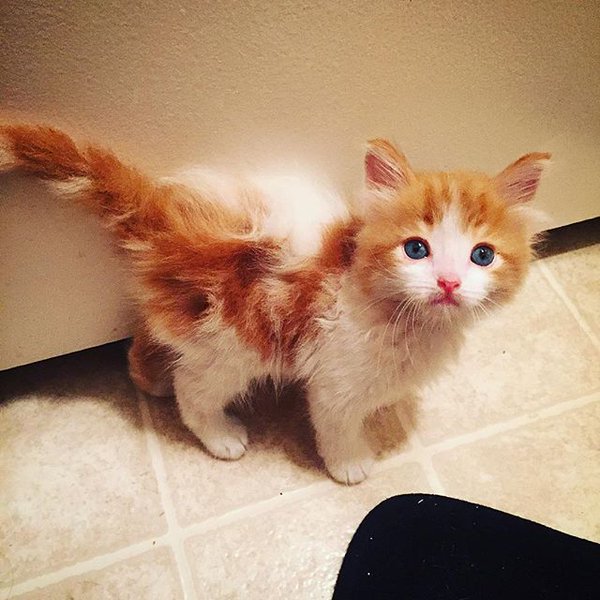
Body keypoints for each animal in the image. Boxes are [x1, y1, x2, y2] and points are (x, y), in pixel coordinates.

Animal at [0, 125, 550, 484]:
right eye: (416, 249)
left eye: (482, 255)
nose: (449, 282)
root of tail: (165, 219)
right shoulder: (334, 376)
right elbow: (337, 423)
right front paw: (349, 463)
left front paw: (385, 410)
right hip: (231, 342)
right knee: (193, 390)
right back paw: (219, 435)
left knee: (148, 336)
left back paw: (147, 378)